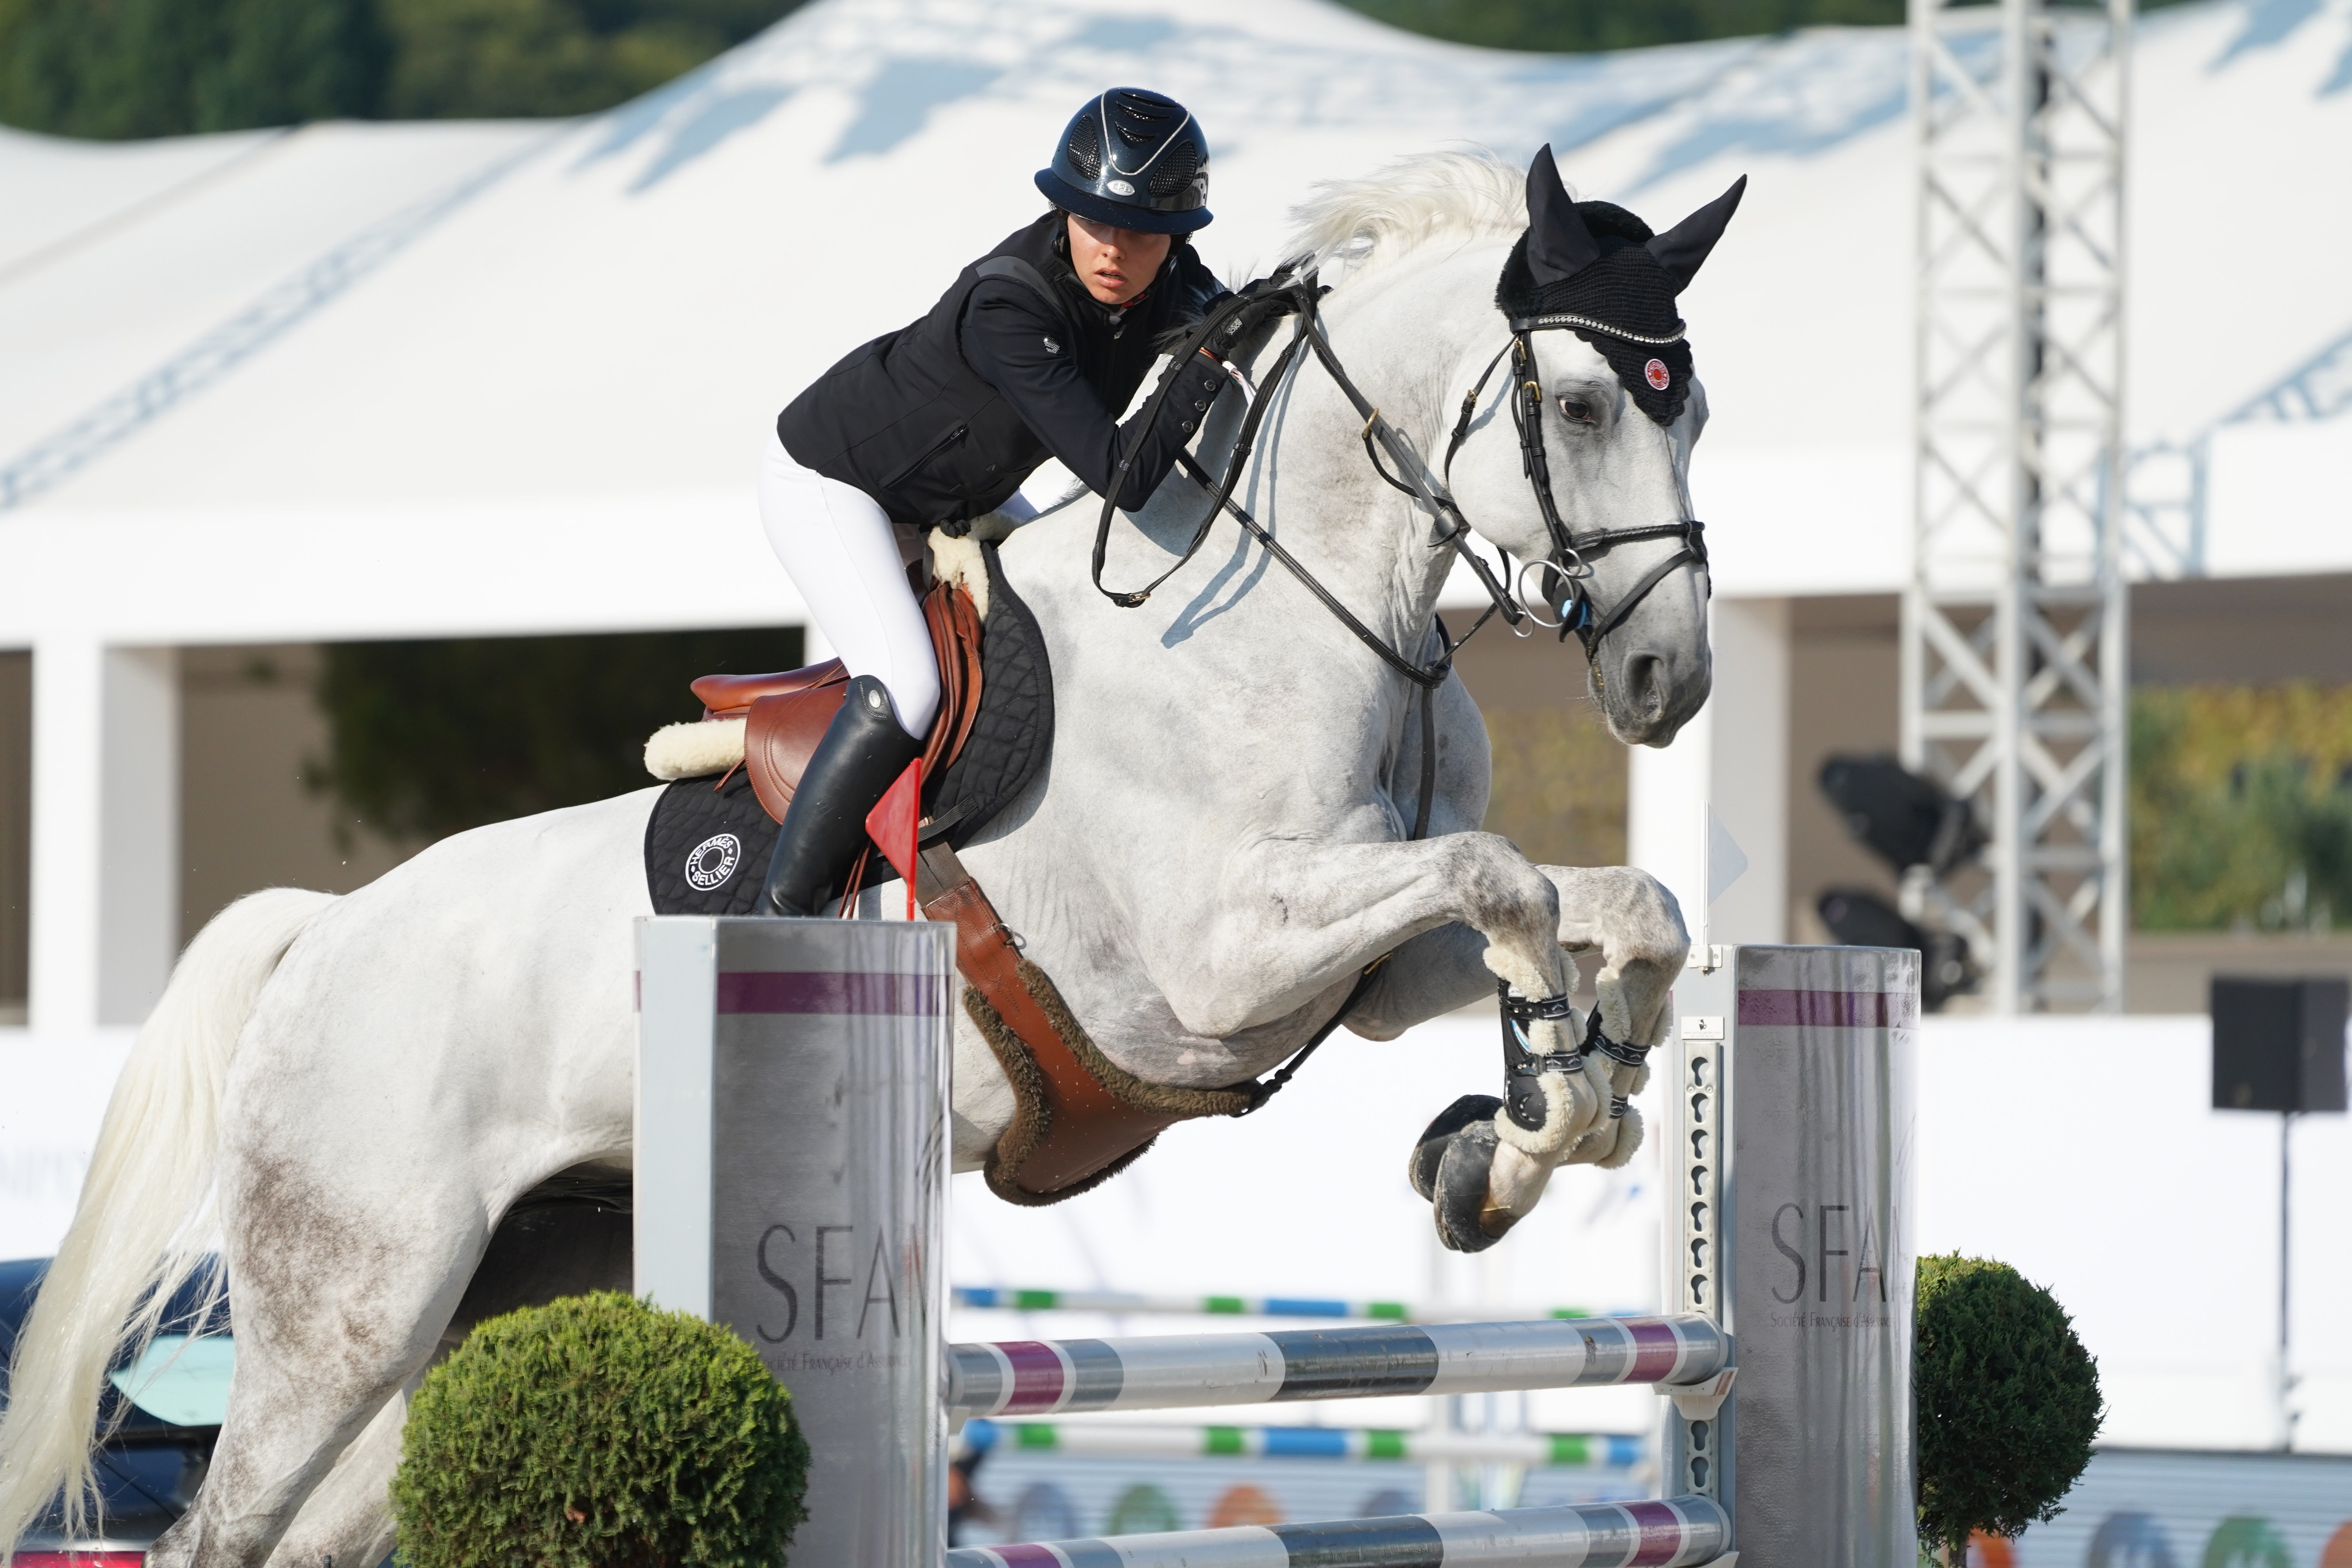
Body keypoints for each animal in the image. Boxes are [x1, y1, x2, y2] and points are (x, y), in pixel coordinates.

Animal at [4, 150, 1731, 1568]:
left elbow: (1614, 906)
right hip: (352, 1300)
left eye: (1691, 409)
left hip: (512, 1280)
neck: (1312, 608)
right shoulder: (1220, 960)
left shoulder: (1357, 962)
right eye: (1584, 406)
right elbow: (1507, 882)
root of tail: (323, 934)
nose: (1667, 683)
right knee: (220, 1529)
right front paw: (1542, 1107)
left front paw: (1539, 1116)